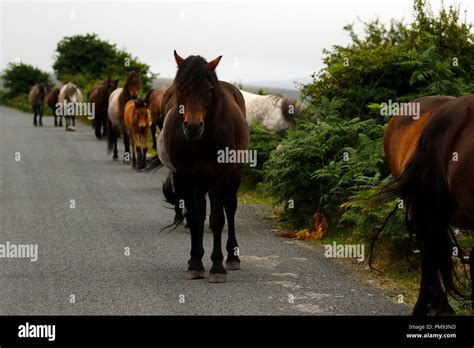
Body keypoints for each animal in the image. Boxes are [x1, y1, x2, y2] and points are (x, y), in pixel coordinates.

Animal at [150, 51, 250, 284]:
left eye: (209, 90)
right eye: (181, 88)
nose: (193, 127)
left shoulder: (220, 176)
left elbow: (218, 218)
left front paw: (217, 266)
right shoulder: (185, 176)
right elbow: (195, 216)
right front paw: (195, 263)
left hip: (233, 175)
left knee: (230, 208)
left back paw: (232, 256)